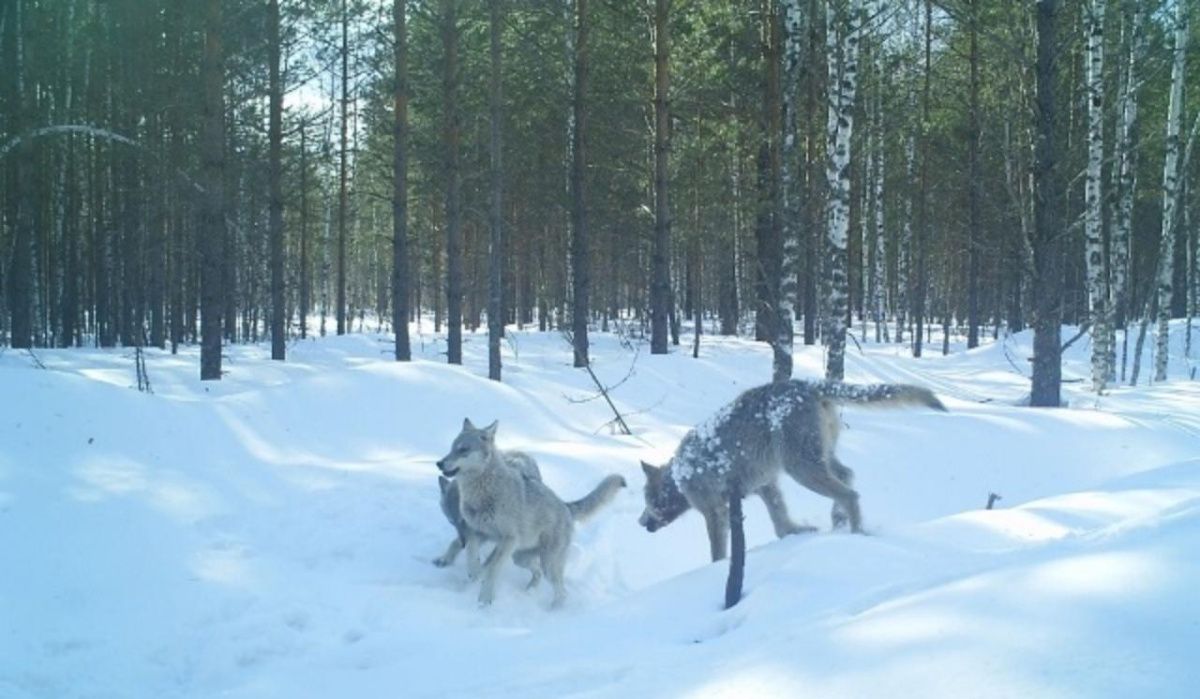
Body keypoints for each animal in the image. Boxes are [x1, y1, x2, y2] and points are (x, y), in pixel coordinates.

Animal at [434, 422, 624, 607]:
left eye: (463, 449)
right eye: (452, 448)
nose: (439, 463)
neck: (484, 493)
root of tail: (566, 506)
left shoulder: (507, 539)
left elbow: (492, 567)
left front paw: (485, 596)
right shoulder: (477, 532)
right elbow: (470, 554)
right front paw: (473, 571)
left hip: (547, 564)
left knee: (562, 593)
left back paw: (552, 611)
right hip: (520, 557)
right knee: (538, 573)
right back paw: (529, 591)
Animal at [638, 381, 945, 562]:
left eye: (648, 501)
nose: (641, 524)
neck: (680, 475)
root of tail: (808, 384)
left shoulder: (715, 511)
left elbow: (718, 553)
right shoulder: (766, 486)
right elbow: (781, 525)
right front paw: (800, 531)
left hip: (802, 469)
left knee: (851, 494)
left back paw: (857, 533)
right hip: (819, 460)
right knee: (848, 476)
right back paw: (838, 521)